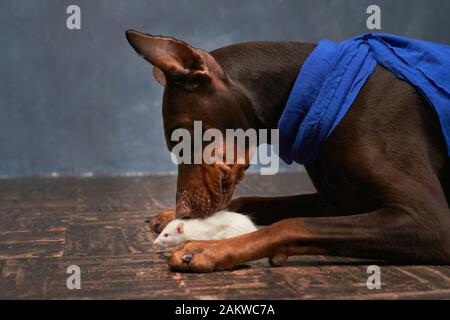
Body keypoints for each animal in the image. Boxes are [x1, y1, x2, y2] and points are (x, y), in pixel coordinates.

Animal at [125, 30, 450, 272]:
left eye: (181, 136)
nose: (182, 211)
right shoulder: (338, 201)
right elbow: (255, 202)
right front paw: (170, 216)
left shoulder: (428, 219)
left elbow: (290, 224)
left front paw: (208, 249)